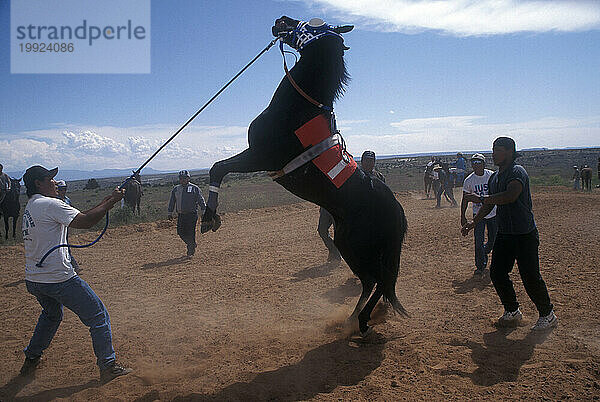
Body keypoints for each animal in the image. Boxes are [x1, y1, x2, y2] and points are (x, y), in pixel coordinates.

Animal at [200, 16, 408, 336]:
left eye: (313, 24)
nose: (280, 21)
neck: (296, 109)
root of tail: (396, 210)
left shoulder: (259, 156)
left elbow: (218, 168)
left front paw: (210, 217)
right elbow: (218, 168)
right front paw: (211, 216)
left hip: (358, 245)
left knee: (376, 281)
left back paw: (359, 322)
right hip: (349, 241)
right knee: (374, 282)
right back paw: (354, 319)